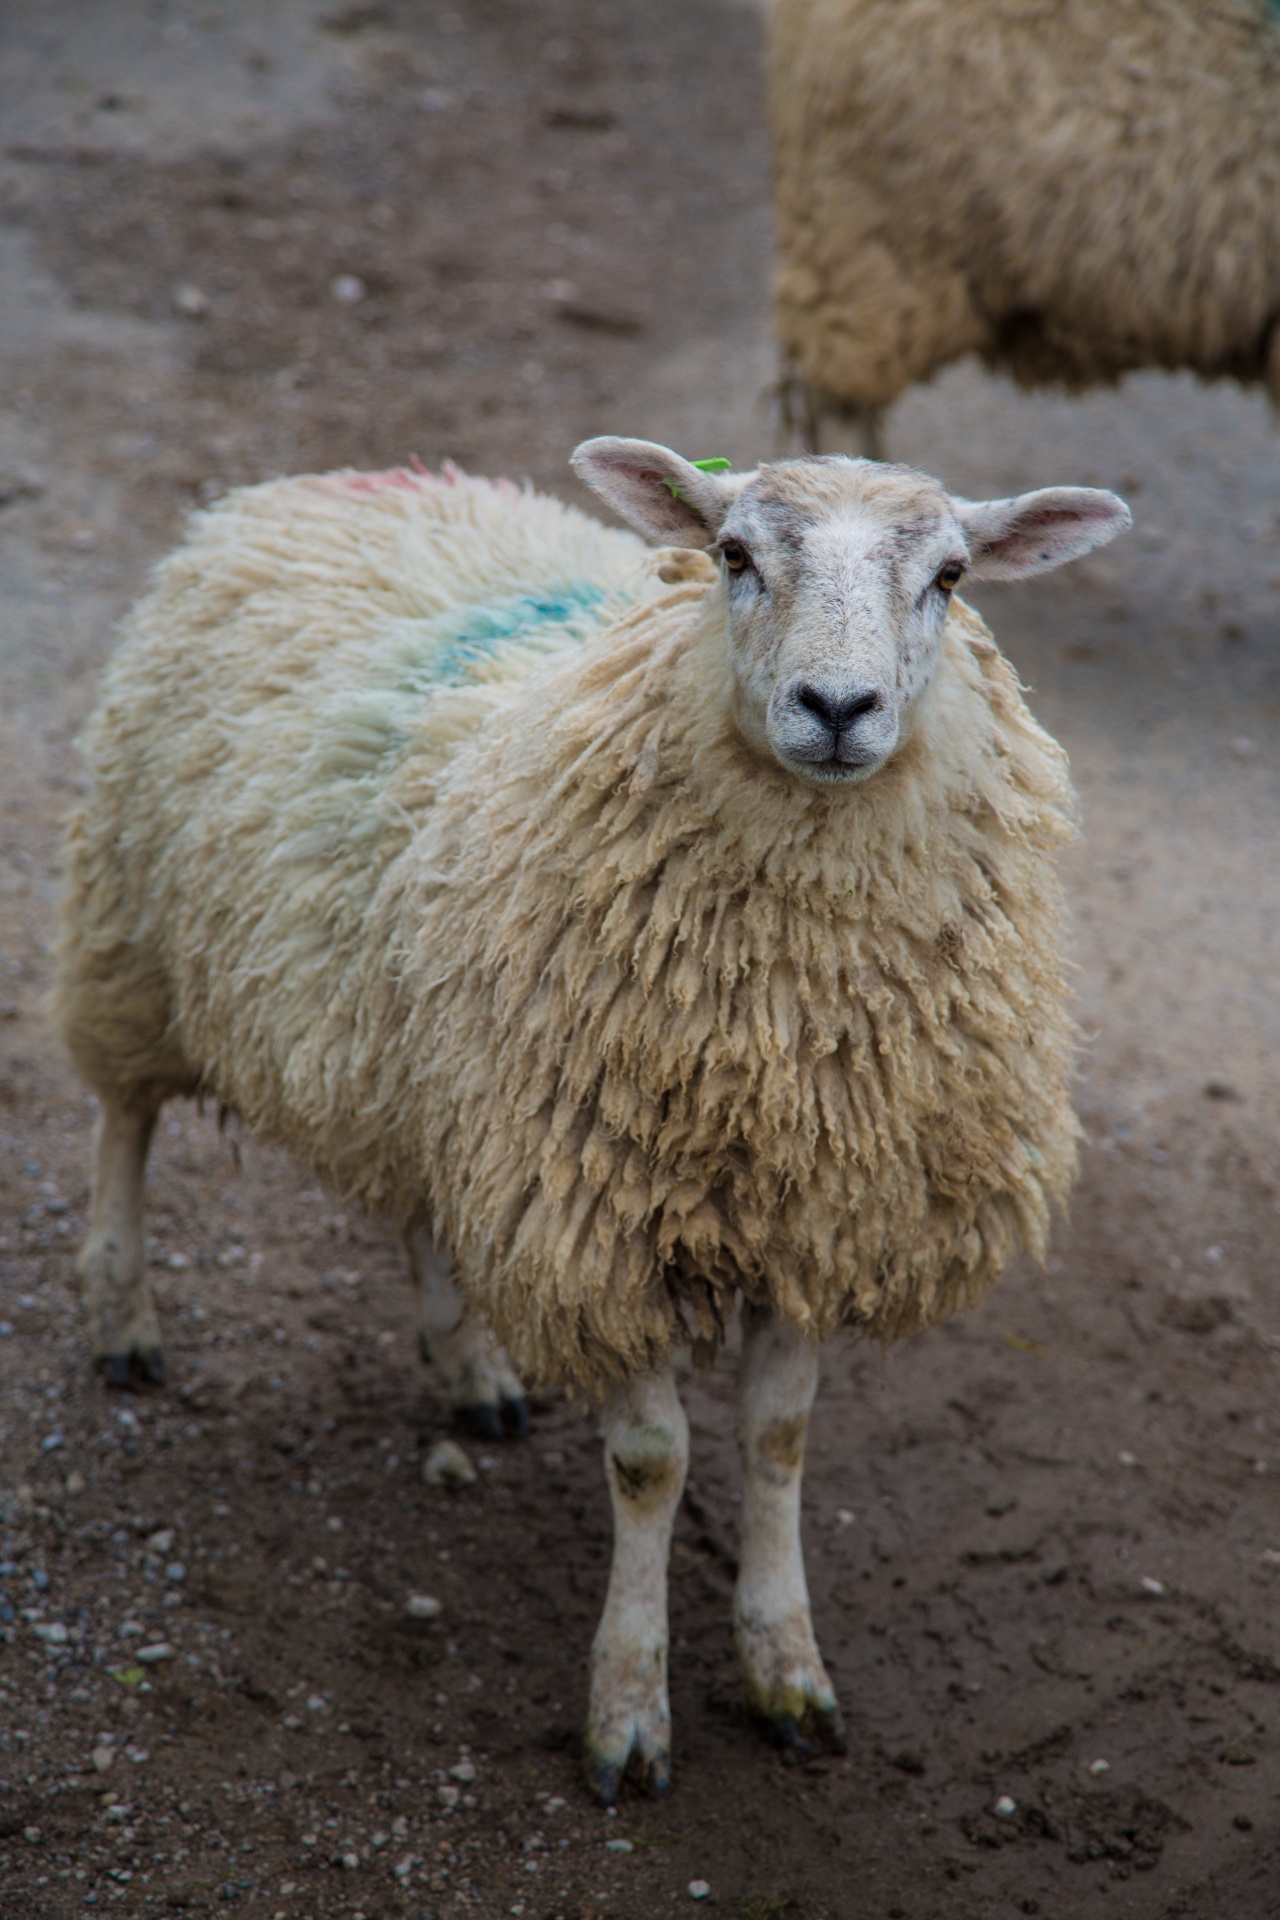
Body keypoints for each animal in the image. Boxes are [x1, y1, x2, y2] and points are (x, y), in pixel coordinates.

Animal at [52, 435, 1128, 1797]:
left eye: (949, 575)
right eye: (731, 554)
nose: (836, 710)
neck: (783, 1026)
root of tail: (336, 478)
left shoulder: (814, 1206)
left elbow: (777, 1439)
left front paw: (786, 1669)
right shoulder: (600, 1220)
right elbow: (651, 1462)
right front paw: (626, 1710)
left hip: (437, 1057)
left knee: (424, 1201)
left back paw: (468, 1369)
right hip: (134, 927)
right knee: (123, 1122)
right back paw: (122, 1313)